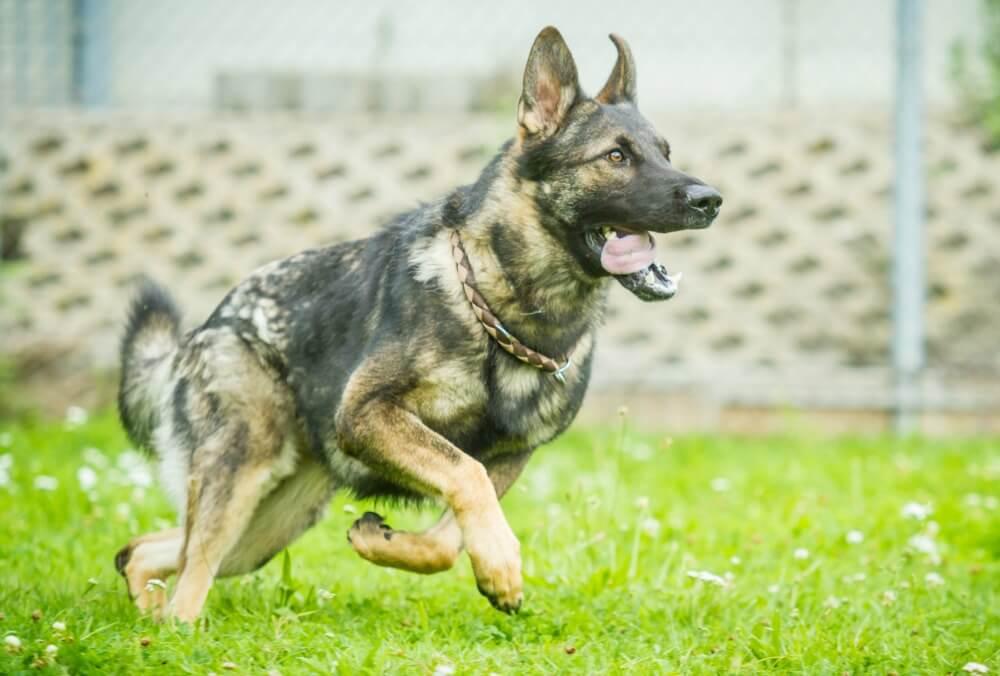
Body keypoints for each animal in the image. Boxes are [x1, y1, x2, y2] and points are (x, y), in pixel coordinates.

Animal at [113, 26, 724, 620]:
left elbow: (451, 535)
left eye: (665, 153)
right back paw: (174, 627)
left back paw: (149, 615)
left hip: (271, 525)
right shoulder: (369, 416)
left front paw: (400, 547)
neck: (503, 311)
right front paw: (501, 563)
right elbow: (464, 476)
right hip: (243, 476)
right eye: (616, 156)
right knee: (192, 572)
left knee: (148, 551)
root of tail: (208, 326)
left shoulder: (510, 456)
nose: (710, 200)